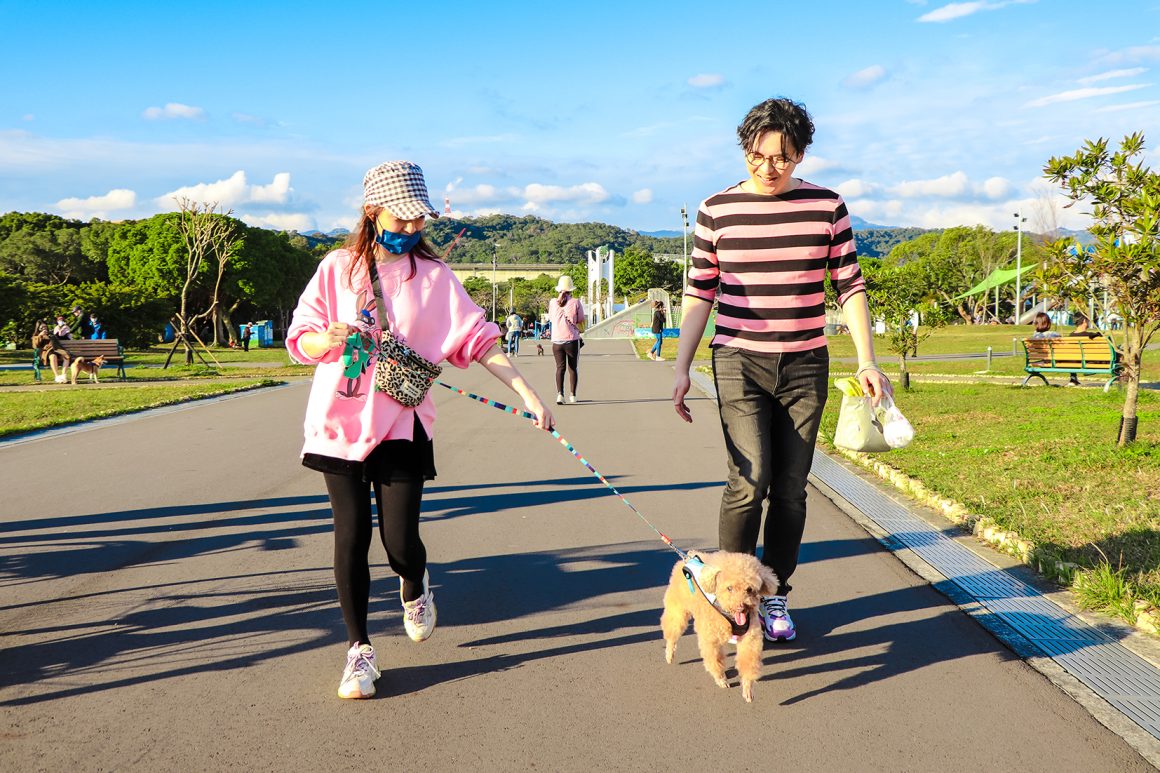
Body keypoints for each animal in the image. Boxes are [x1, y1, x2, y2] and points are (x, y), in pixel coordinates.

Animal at [668, 547, 774, 696]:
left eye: (749, 589)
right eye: (729, 588)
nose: (741, 606)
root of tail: (686, 558)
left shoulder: (750, 638)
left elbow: (749, 660)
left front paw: (747, 687)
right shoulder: (710, 638)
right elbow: (715, 659)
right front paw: (721, 679)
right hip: (678, 609)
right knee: (671, 632)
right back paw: (669, 654)